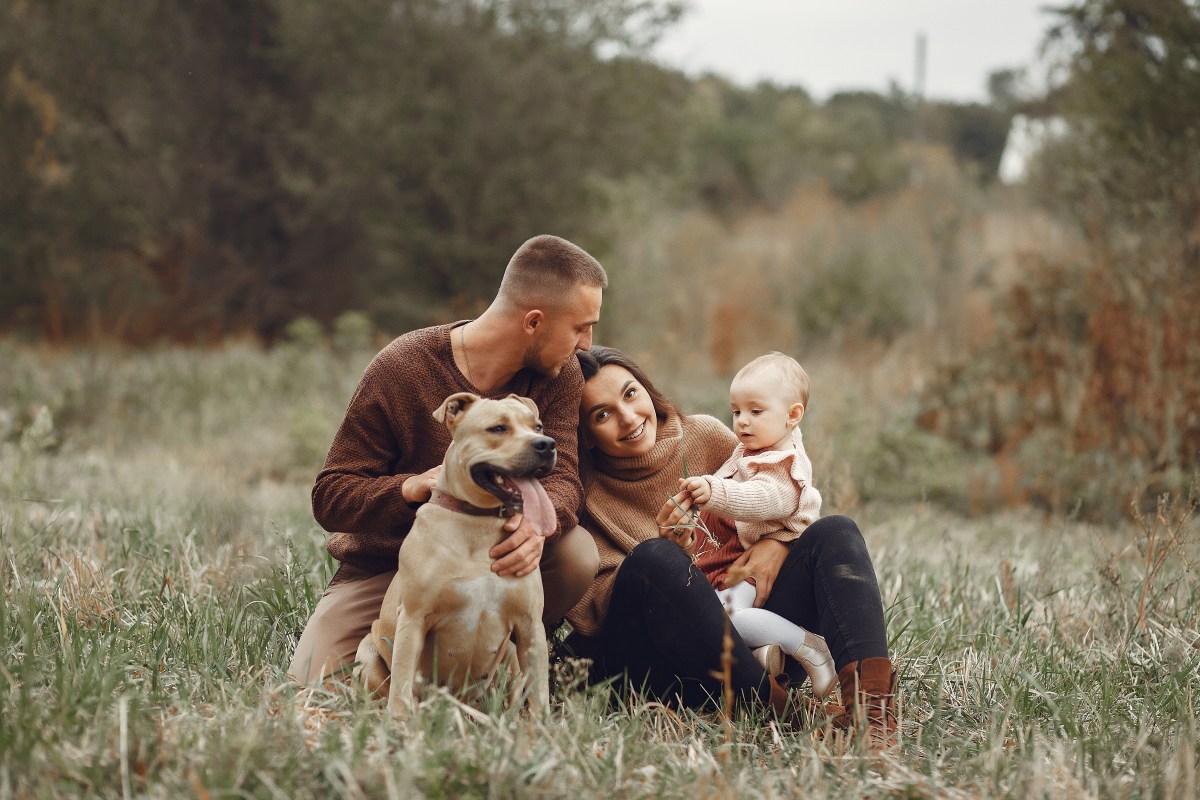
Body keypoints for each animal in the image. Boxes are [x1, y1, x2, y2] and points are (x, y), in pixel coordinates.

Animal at [350, 393, 556, 719]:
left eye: (538, 426)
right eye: (498, 428)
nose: (546, 444)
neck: (478, 524)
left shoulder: (530, 624)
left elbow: (538, 692)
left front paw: (541, 728)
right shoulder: (413, 619)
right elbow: (402, 682)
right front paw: (399, 724)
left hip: (511, 654)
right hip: (367, 651)